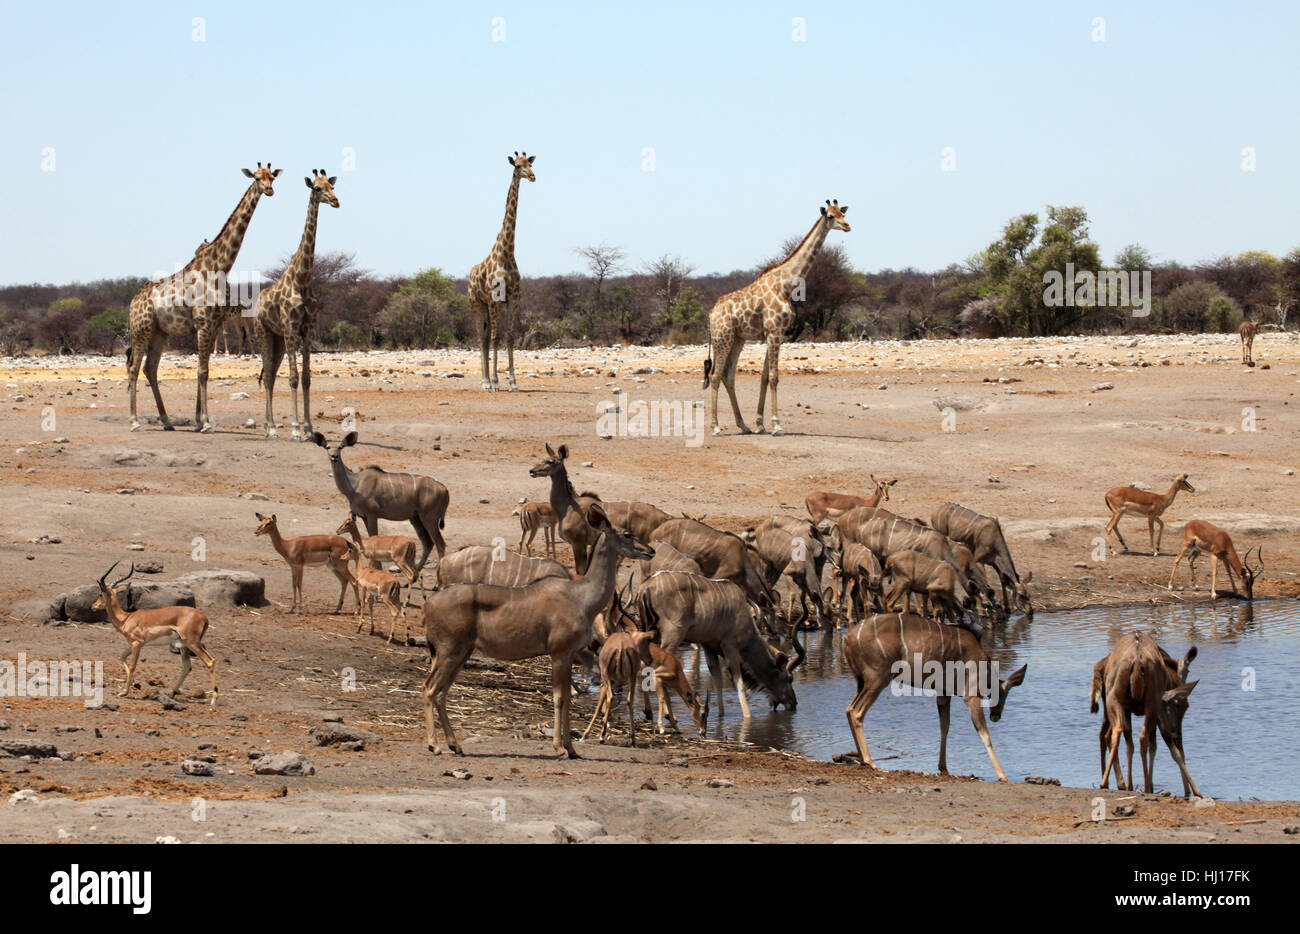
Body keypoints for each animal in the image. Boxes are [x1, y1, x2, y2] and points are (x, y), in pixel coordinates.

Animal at [126, 162, 282, 434]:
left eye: (271, 177)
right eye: (256, 177)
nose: (269, 190)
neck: (218, 267)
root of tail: (132, 302)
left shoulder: (214, 323)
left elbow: (205, 369)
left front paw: (200, 420)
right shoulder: (203, 323)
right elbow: (202, 371)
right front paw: (206, 422)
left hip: (159, 332)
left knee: (150, 368)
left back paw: (166, 421)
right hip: (141, 328)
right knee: (135, 367)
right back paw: (135, 421)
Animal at [254, 170, 340, 442]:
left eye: (331, 186)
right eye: (316, 188)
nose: (336, 201)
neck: (302, 278)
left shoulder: (307, 329)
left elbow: (306, 378)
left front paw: (310, 429)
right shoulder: (291, 327)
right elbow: (292, 378)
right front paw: (294, 429)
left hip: (279, 340)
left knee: (270, 375)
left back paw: (270, 426)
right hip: (264, 333)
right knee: (268, 376)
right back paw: (272, 428)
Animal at [467, 151, 533, 392]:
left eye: (530, 163)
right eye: (517, 166)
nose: (532, 176)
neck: (507, 253)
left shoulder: (513, 299)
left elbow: (510, 337)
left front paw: (513, 382)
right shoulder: (495, 300)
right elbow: (495, 338)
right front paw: (495, 381)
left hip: (487, 306)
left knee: (486, 337)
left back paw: (487, 379)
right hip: (477, 303)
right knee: (481, 337)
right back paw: (485, 381)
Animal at [702, 199, 852, 439]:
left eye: (842, 213)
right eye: (830, 215)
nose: (847, 226)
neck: (786, 285)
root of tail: (711, 313)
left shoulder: (777, 334)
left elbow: (765, 377)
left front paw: (760, 424)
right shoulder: (774, 332)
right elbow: (774, 377)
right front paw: (777, 426)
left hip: (737, 338)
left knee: (728, 375)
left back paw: (743, 426)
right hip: (721, 337)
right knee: (716, 375)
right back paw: (716, 428)